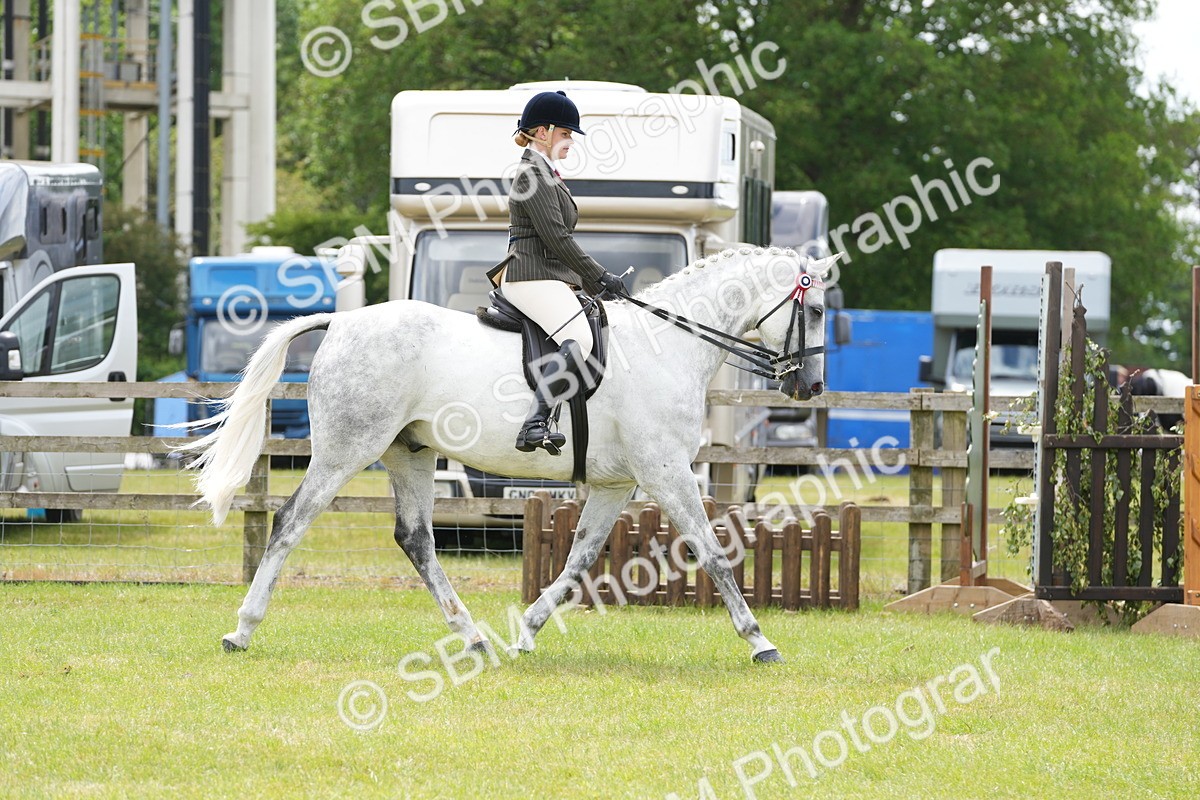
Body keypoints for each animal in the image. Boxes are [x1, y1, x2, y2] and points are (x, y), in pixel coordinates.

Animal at [180, 246, 832, 663]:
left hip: (409, 453)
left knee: (416, 540)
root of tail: (341, 322)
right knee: (291, 521)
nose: (811, 387)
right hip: (347, 449)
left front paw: (527, 632)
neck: (667, 345)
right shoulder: (666, 472)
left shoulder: (618, 483)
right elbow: (713, 551)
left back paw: (472, 637)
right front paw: (760, 640)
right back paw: (242, 630)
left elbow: (579, 559)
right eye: (820, 309)